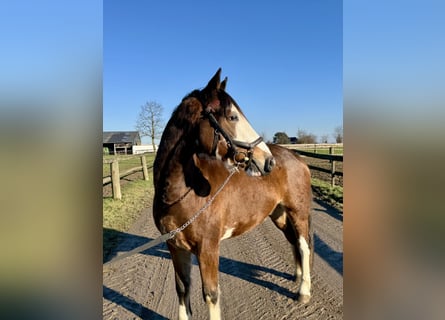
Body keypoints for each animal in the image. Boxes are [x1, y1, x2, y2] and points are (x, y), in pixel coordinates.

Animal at [153, 69, 312, 318]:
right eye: (233, 117)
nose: (268, 161)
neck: (181, 193)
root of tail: (297, 158)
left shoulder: (208, 248)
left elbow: (211, 295)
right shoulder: (175, 247)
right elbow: (182, 289)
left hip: (298, 212)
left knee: (304, 246)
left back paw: (304, 291)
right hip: (279, 214)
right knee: (294, 241)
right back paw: (297, 277)